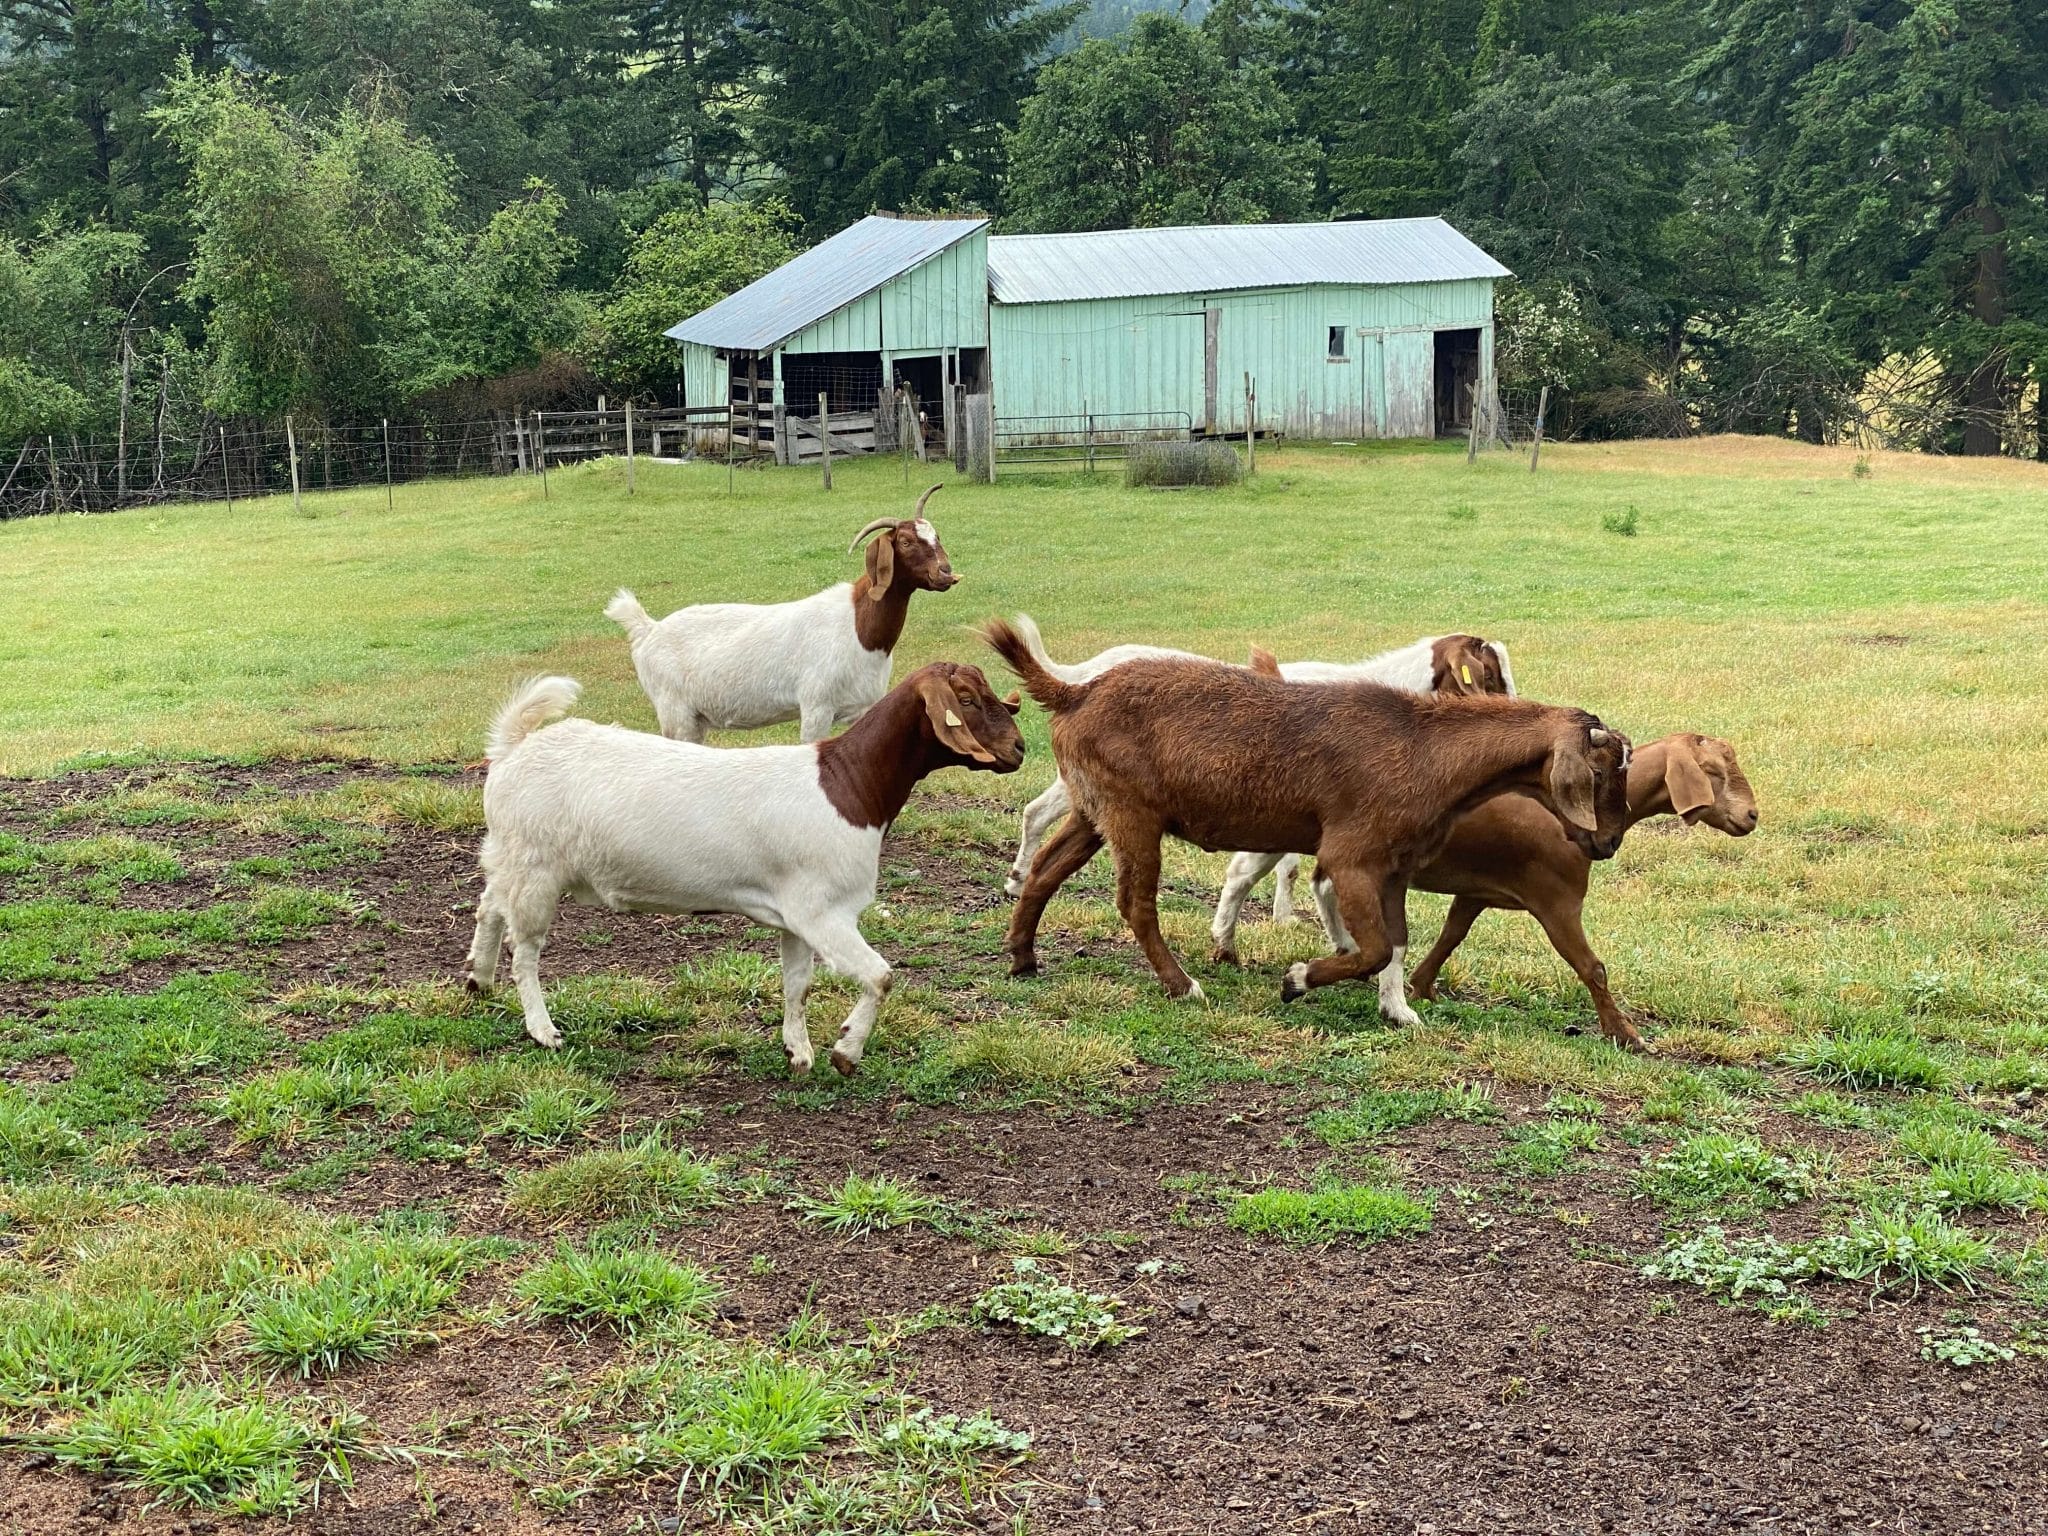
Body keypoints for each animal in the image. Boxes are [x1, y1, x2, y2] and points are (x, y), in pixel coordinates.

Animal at [464, 663, 1024, 1073]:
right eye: (967, 699)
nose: (1019, 748)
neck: (848, 784)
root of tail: (514, 747)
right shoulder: (825, 913)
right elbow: (880, 976)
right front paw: (846, 1052)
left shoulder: (797, 916)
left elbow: (798, 984)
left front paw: (799, 1053)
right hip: (535, 868)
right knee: (524, 949)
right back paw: (542, 1030)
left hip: (511, 856)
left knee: (489, 906)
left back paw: (478, 980)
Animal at [606, 483, 958, 741]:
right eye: (906, 542)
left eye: (938, 536)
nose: (945, 573)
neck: (857, 628)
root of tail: (648, 629)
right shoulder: (816, 707)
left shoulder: (863, 706)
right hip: (674, 711)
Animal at [983, 614, 1622, 1011]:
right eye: (1598, 772)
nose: (1608, 843)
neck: (1423, 742)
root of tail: (1074, 690)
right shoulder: (1351, 853)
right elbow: (1371, 943)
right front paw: (1295, 979)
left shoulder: (1391, 862)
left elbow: (1394, 941)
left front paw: (1398, 1010)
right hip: (1131, 813)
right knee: (1133, 903)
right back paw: (1183, 985)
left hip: (1095, 809)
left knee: (1047, 869)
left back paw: (1022, 956)